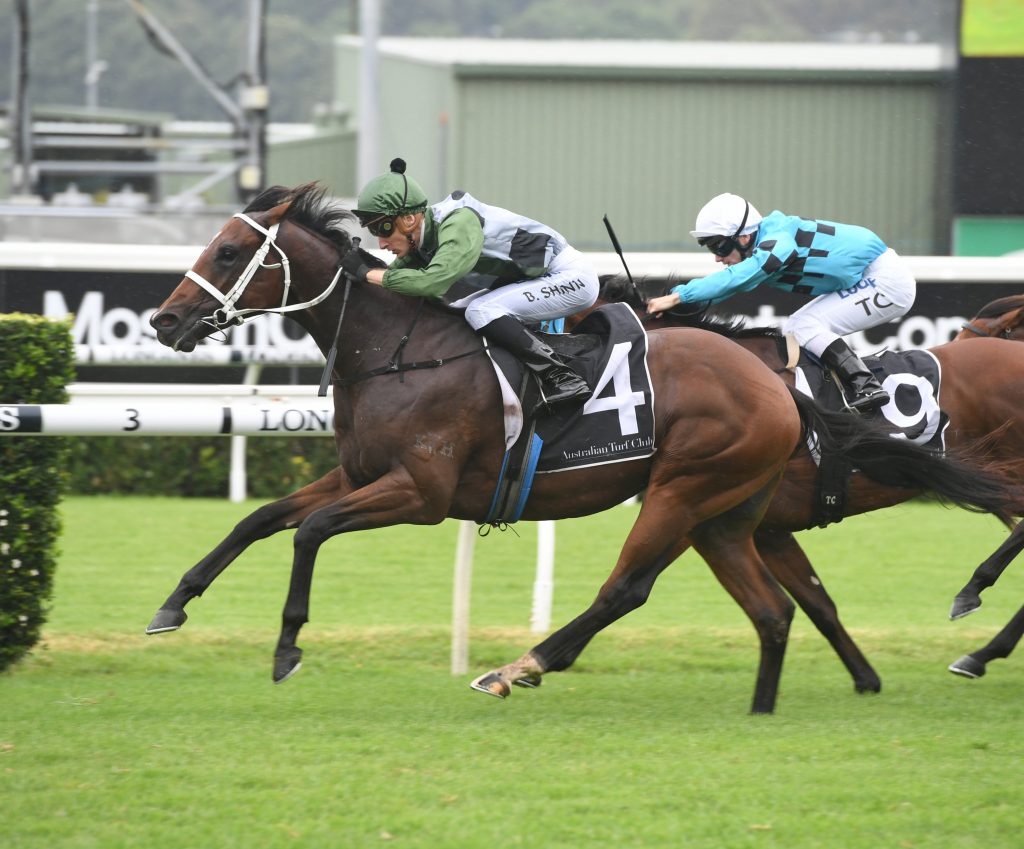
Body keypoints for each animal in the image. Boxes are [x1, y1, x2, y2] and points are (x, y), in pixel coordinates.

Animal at [580, 276, 1024, 686]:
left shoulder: (696, 506)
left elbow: (633, 580)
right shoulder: (765, 529)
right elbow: (818, 602)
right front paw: (866, 679)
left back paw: (974, 602)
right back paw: (979, 652)